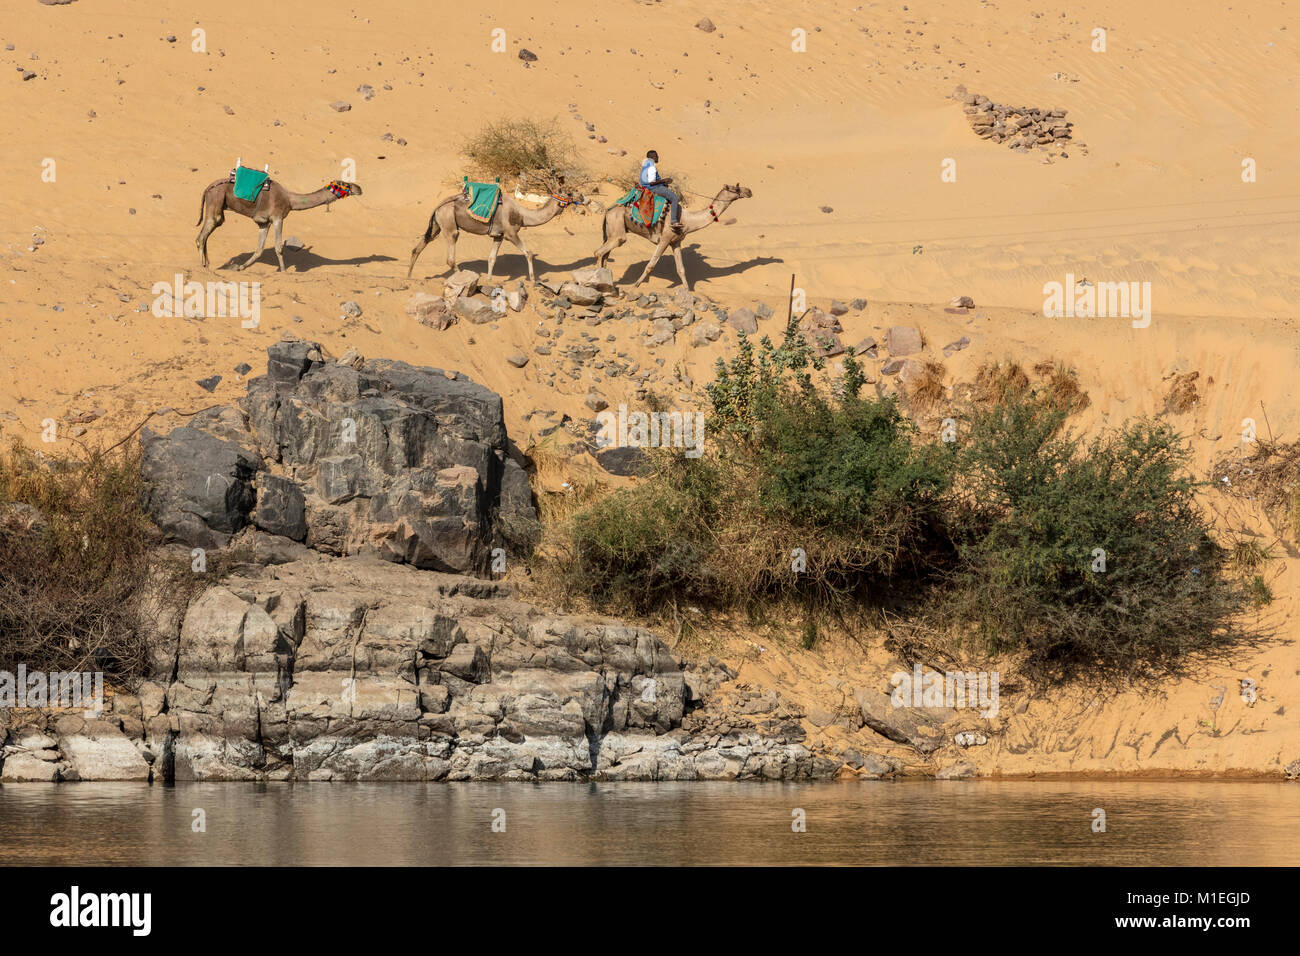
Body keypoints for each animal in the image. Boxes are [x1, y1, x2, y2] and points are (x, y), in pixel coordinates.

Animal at [195, 176, 363, 271]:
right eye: (346, 185)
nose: (359, 188)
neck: (290, 200)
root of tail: (207, 188)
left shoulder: (264, 223)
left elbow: (259, 249)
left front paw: (241, 267)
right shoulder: (277, 218)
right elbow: (278, 247)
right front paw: (283, 271)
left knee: (206, 234)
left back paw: (209, 265)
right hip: (216, 199)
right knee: (203, 236)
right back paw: (203, 267)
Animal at [406, 186, 581, 282]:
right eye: (569, 193)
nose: (582, 197)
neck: (523, 215)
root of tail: (438, 206)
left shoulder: (499, 235)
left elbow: (492, 258)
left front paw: (489, 279)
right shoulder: (511, 233)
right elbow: (529, 253)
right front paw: (533, 279)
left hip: (437, 224)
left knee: (419, 247)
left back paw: (408, 276)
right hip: (449, 223)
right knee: (450, 255)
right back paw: (464, 277)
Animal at [593, 183, 752, 291]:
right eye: (736, 188)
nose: (749, 191)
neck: (687, 221)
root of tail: (608, 210)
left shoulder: (676, 242)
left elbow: (681, 269)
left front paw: (688, 291)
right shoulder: (664, 239)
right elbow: (651, 265)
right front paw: (635, 285)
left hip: (611, 231)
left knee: (605, 255)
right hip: (617, 231)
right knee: (599, 252)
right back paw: (597, 282)